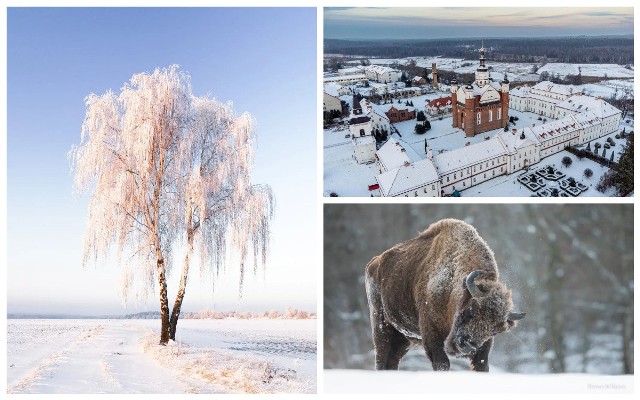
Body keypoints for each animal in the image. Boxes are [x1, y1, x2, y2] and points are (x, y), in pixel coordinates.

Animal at [364, 219, 524, 372]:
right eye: (470, 311)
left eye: (495, 331)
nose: (467, 345)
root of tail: (374, 262)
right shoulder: (431, 334)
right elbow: (442, 363)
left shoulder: (483, 347)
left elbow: (482, 365)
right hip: (381, 326)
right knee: (382, 358)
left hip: (403, 338)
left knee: (392, 360)